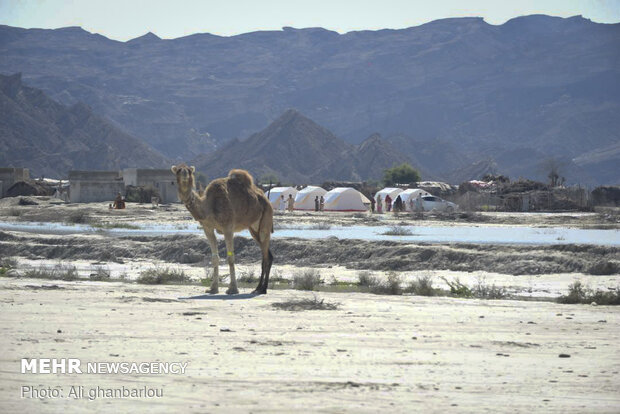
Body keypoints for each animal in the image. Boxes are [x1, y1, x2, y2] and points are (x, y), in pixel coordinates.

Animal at [172, 163, 274, 294]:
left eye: (189, 171)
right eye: (178, 170)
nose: (184, 174)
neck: (209, 207)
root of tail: (266, 200)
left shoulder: (228, 227)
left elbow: (230, 258)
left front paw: (233, 289)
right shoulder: (207, 228)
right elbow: (215, 258)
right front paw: (213, 288)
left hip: (266, 220)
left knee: (265, 256)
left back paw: (263, 288)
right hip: (253, 228)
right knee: (267, 255)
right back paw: (258, 287)